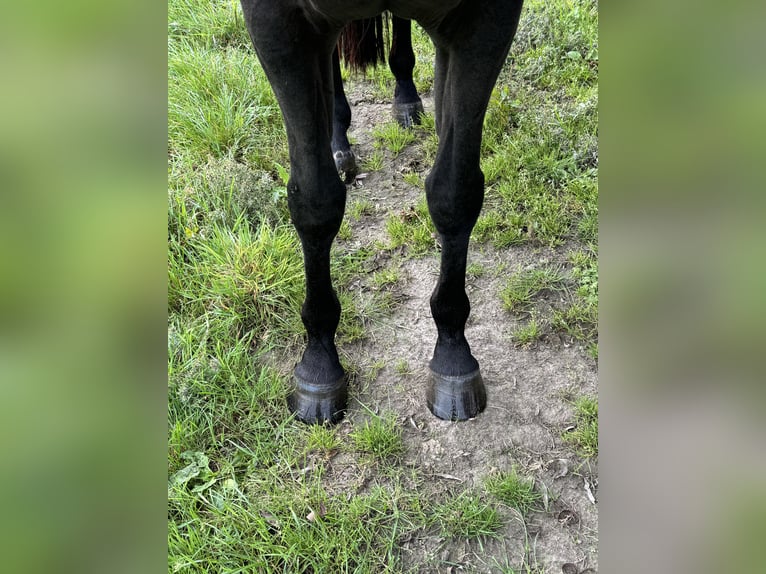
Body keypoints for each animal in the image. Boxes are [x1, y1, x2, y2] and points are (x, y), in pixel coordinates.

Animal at [243, 0, 524, 426]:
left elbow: (454, 193)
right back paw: (339, 142)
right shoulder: (276, 23)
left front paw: (453, 358)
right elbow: (314, 201)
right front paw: (319, 365)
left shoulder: (485, 21)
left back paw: (406, 99)